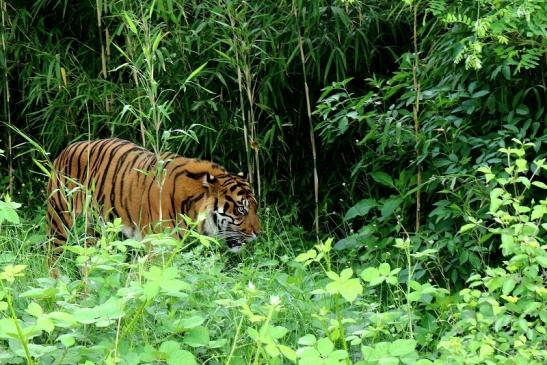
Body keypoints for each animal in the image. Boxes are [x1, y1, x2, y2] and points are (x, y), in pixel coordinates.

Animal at [47, 138, 262, 252]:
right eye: (241, 210)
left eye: (255, 208)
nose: (259, 233)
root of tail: (66, 149)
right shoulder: (158, 245)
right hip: (59, 221)